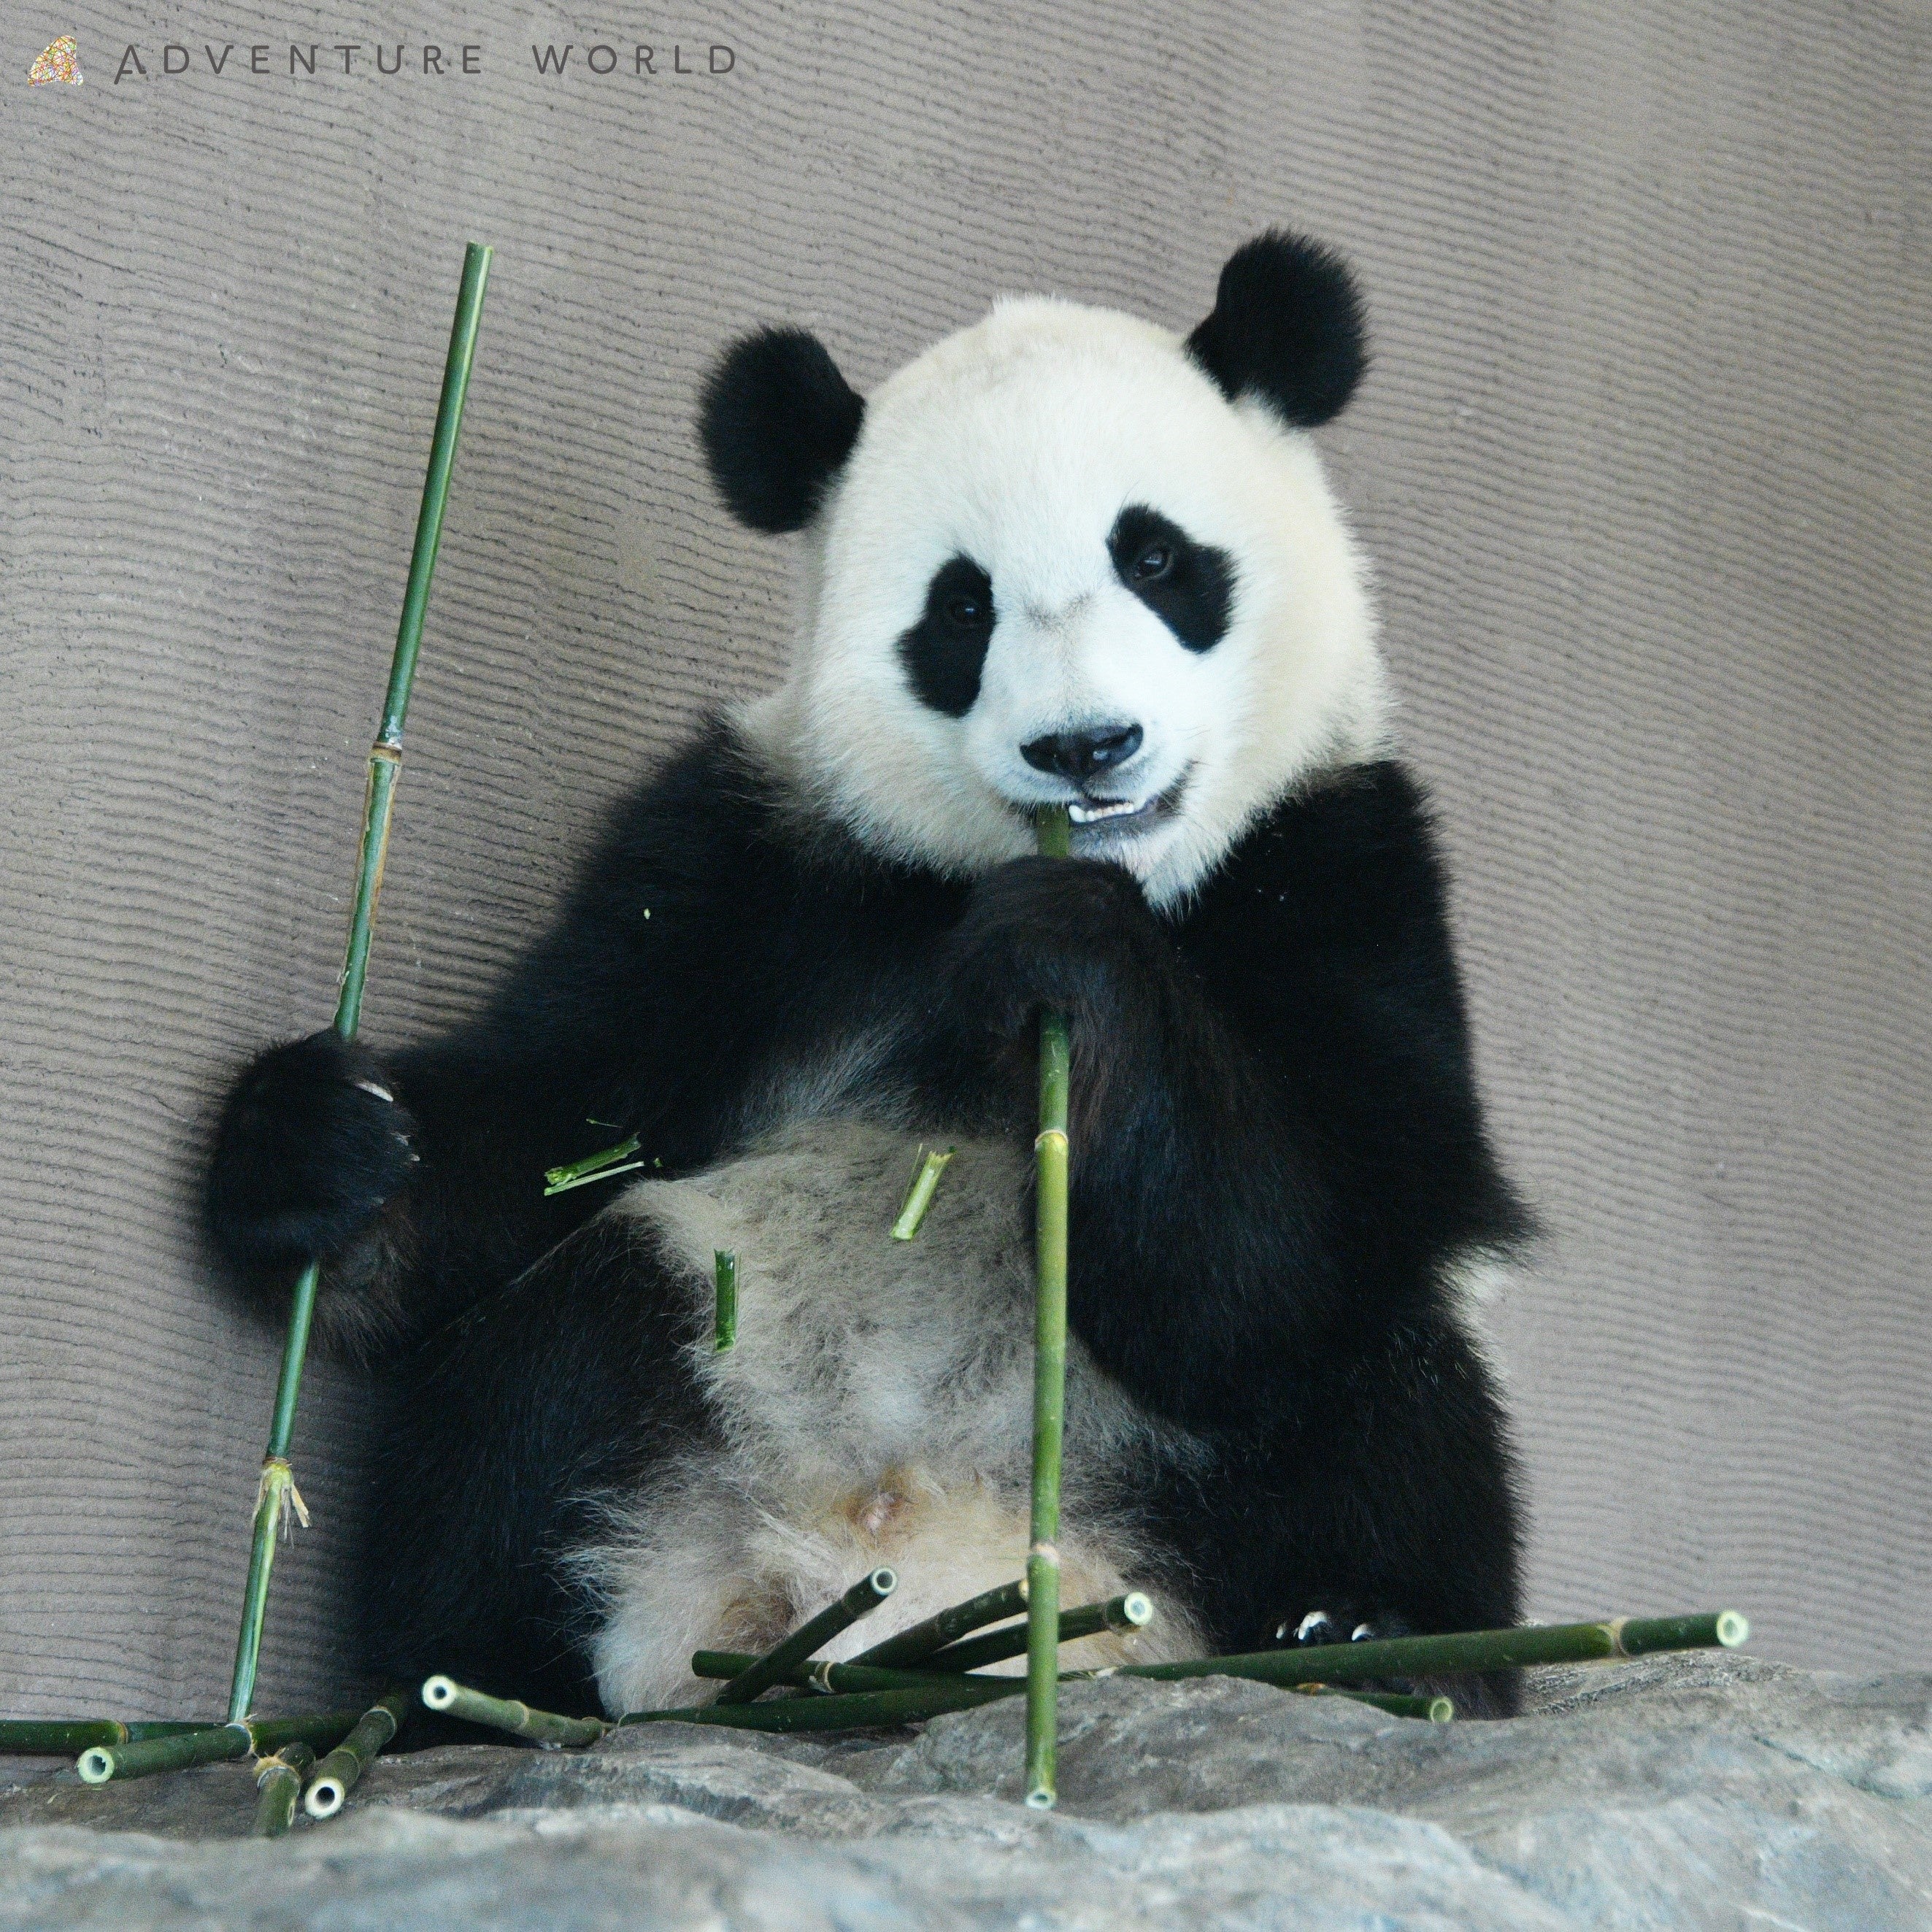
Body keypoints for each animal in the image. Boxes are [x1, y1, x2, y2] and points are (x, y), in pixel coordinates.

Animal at [207, 231, 1530, 1721]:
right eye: (960, 608)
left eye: (1156, 557)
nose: (1085, 747)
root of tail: (894, 1574)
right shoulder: (755, 868)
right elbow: (557, 1118)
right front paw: (318, 1144)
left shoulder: (1342, 861)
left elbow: (1295, 1248)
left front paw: (1075, 964)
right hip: (700, 1335)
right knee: (531, 1372)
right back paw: (464, 1682)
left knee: (1391, 1376)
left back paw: (1369, 1637)